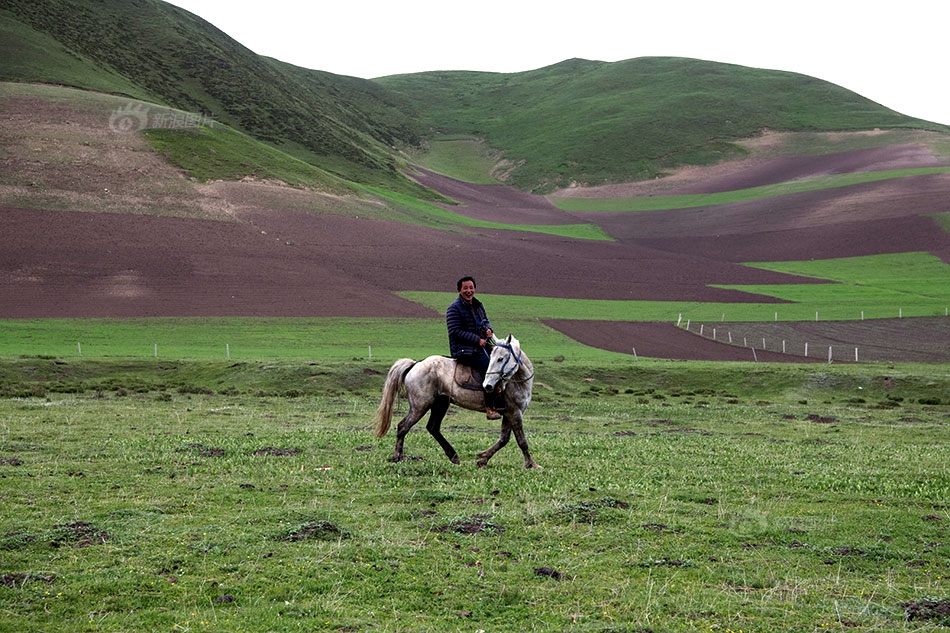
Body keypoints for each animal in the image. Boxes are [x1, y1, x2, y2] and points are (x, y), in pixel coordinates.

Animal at [374, 334, 540, 466]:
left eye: (500, 359)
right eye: (493, 358)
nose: (487, 386)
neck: (517, 380)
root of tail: (416, 364)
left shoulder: (508, 413)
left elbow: (504, 439)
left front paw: (482, 459)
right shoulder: (515, 413)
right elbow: (522, 441)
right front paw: (531, 464)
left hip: (440, 404)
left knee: (433, 428)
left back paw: (453, 456)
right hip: (420, 406)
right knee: (403, 426)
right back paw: (397, 457)